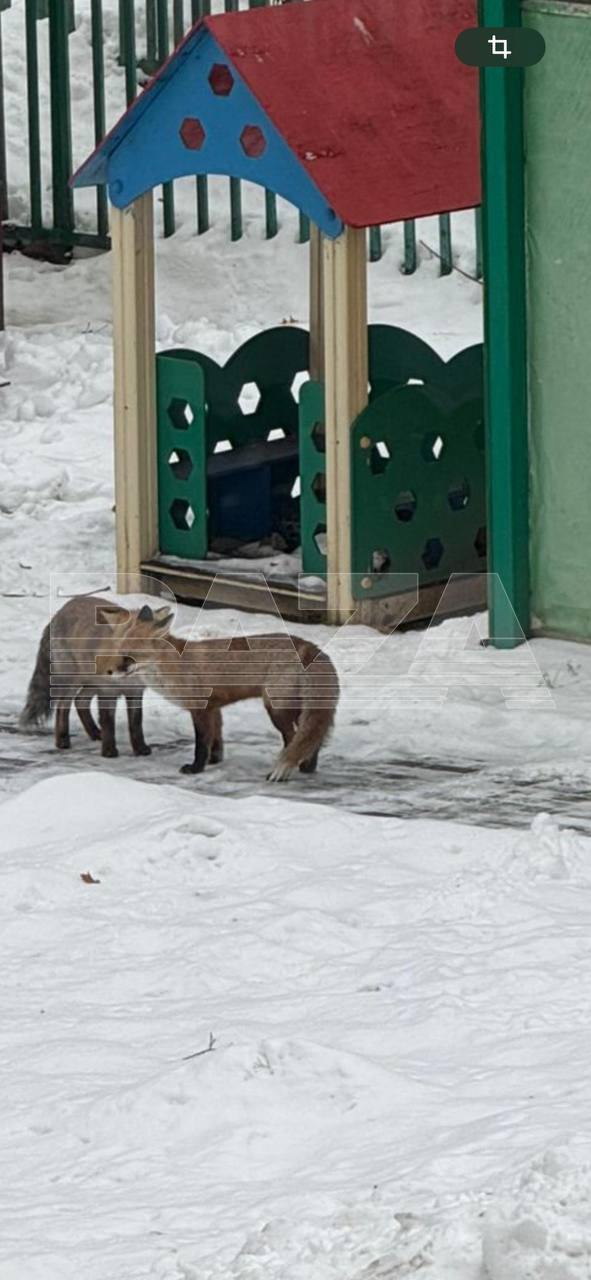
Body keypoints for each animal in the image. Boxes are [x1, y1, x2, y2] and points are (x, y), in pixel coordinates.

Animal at [20, 591, 154, 757]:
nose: (122, 666)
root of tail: (58, 613)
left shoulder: (135, 691)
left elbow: (136, 723)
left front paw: (140, 748)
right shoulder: (108, 691)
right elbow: (108, 721)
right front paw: (109, 750)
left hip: (90, 683)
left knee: (80, 701)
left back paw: (94, 733)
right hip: (73, 681)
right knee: (62, 707)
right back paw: (62, 740)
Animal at [95, 601, 340, 778]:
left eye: (129, 657)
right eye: (119, 651)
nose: (108, 671)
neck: (175, 665)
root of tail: (309, 646)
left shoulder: (200, 708)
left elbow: (201, 744)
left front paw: (195, 768)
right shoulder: (214, 707)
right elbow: (216, 739)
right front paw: (214, 761)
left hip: (277, 709)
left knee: (295, 738)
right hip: (294, 707)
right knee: (313, 737)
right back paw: (307, 766)